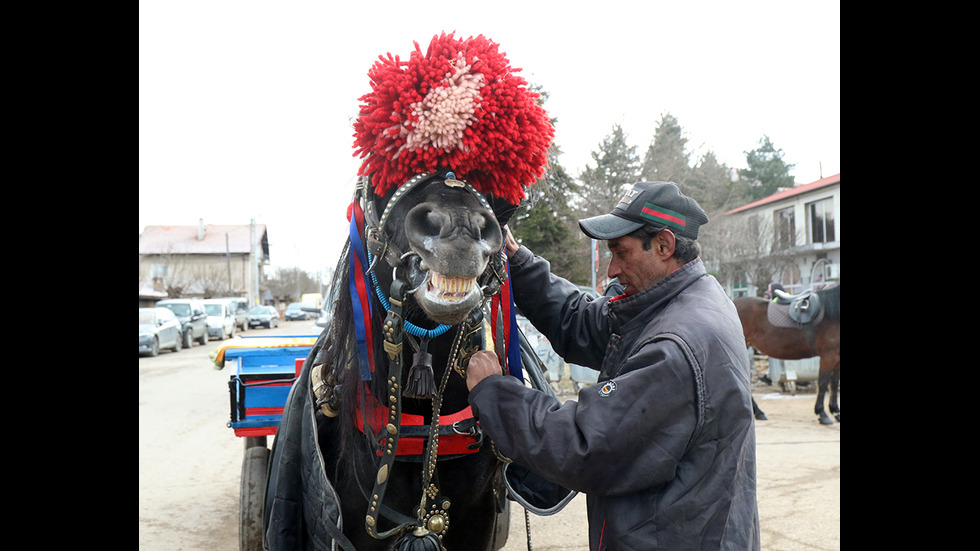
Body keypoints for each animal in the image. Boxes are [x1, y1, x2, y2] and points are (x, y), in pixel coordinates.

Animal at [736, 286, 844, 424]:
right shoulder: (828, 356)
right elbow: (823, 383)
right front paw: (822, 413)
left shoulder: (837, 358)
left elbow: (834, 384)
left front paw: (836, 412)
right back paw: (758, 412)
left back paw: (758, 413)